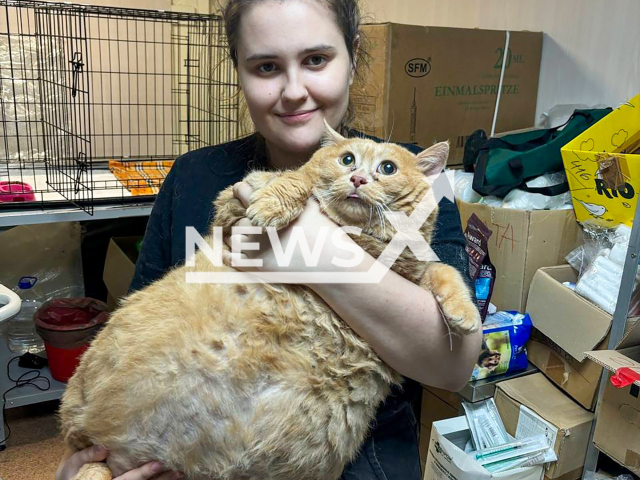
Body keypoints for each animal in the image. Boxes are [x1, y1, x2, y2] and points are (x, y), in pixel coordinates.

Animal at [61, 124, 480, 480]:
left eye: (387, 168)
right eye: (347, 159)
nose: (358, 179)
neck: (359, 239)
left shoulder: (413, 271)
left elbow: (446, 271)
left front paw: (466, 314)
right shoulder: (231, 208)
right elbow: (292, 179)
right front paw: (275, 205)